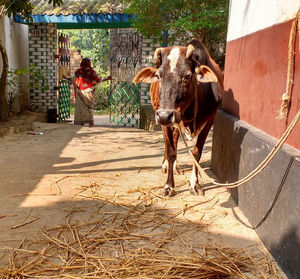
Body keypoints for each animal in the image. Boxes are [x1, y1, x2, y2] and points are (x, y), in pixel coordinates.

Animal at [133, 38, 223, 197]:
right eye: (158, 76)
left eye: (187, 76)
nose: (164, 115)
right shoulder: (165, 120)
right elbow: (171, 152)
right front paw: (169, 186)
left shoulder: (209, 121)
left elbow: (196, 153)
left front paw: (195, 184)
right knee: (168, 143)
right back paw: (166, 166)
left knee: (175, 138)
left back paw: (176, 167)